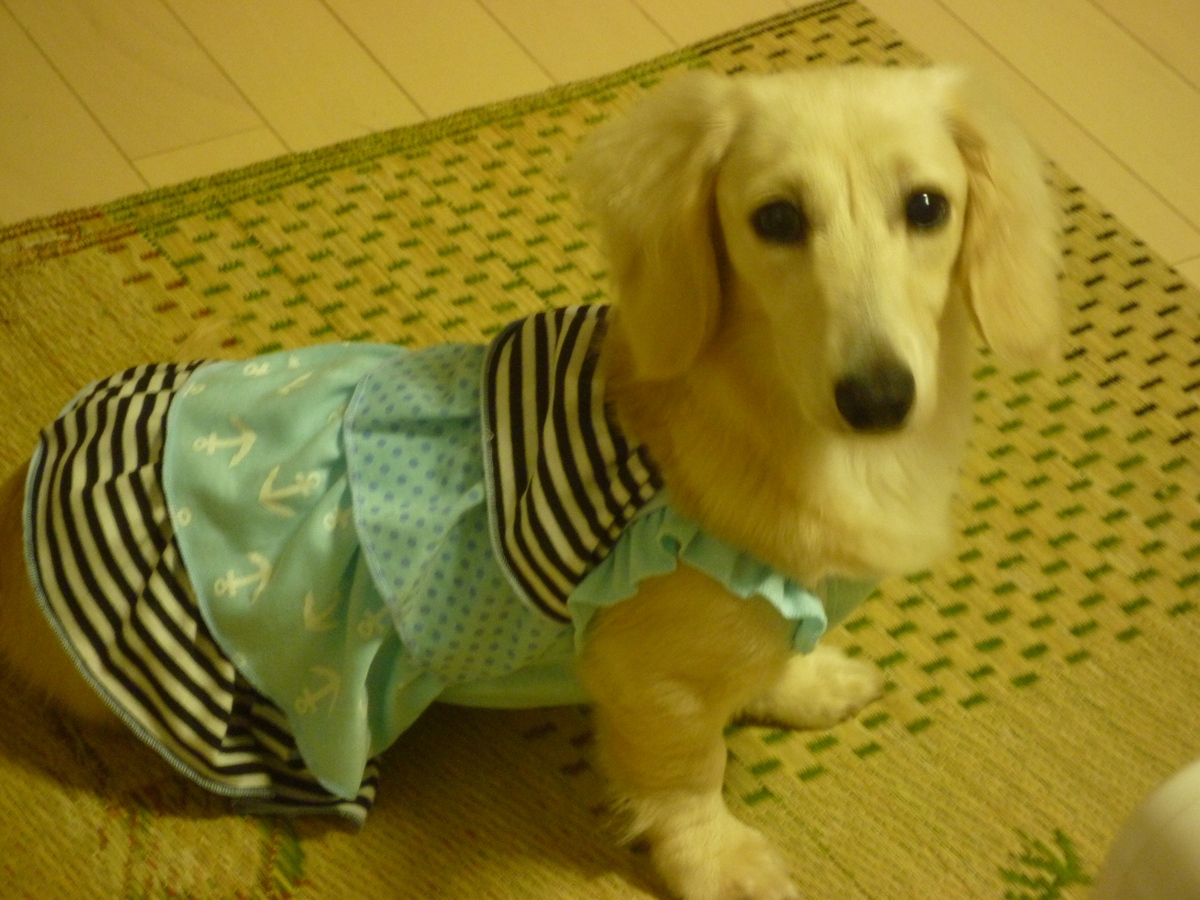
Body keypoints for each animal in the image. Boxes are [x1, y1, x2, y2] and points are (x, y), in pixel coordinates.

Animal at [0, 66, 1057, 900]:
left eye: (928, 207)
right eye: (777, 220)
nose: (879, 397)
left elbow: (768, 661)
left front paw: (807, 682)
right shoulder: (651, 680)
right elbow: (688, 777)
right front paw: (720, 863)